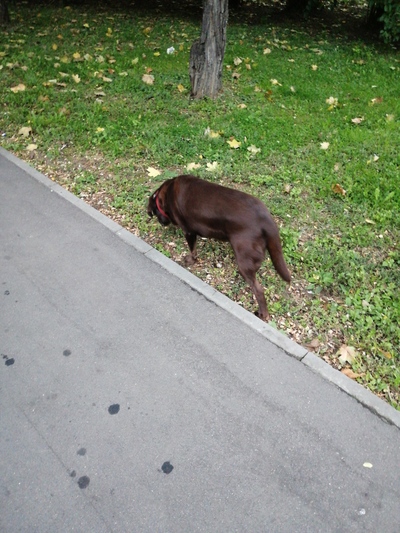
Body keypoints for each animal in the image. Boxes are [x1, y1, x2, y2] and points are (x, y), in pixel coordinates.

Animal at [147, 175, 290, 318]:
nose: (162, 223)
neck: (166, 193)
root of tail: (265, 218)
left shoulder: (188, 231)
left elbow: (192, 249)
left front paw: (190, 260)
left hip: (245, 261)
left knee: (259, 290)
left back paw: (262, 314)